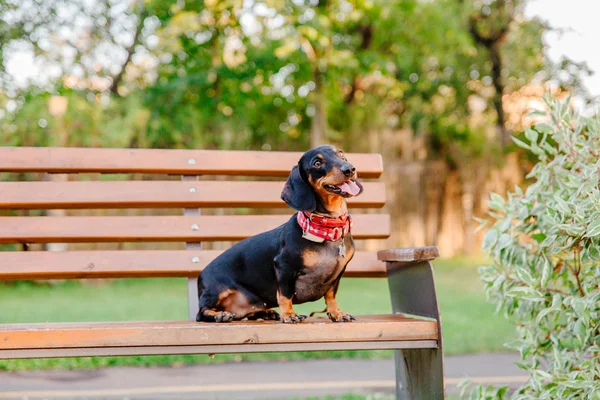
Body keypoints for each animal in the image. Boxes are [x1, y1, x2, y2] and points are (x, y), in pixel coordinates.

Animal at [197, 145, 364, 324]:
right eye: (317, 163)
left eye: (340, 154)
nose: (350, 169)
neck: (327, 228)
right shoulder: (284, 267)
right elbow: (285, 295)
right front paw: (289, 314)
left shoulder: (338, 274)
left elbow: (331, 295)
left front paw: (336, 313)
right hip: (215, 291)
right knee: (201, 313)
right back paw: (219, 314)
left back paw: (265, 313)